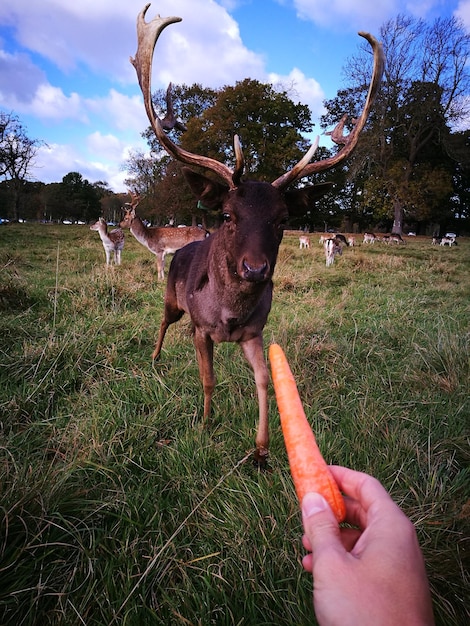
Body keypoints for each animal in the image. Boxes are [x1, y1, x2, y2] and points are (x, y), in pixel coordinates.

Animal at [130, 3, 384, 464]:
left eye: (282, 218)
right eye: (228, 214)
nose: (255, 269)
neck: (228, 315)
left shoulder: (254, 334)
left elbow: (265, 380)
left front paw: (263, 448)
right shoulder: (203, 329)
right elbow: (209, 379)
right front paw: (205, 422)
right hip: (172, 297)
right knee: (163, 321)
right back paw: (155, 356)